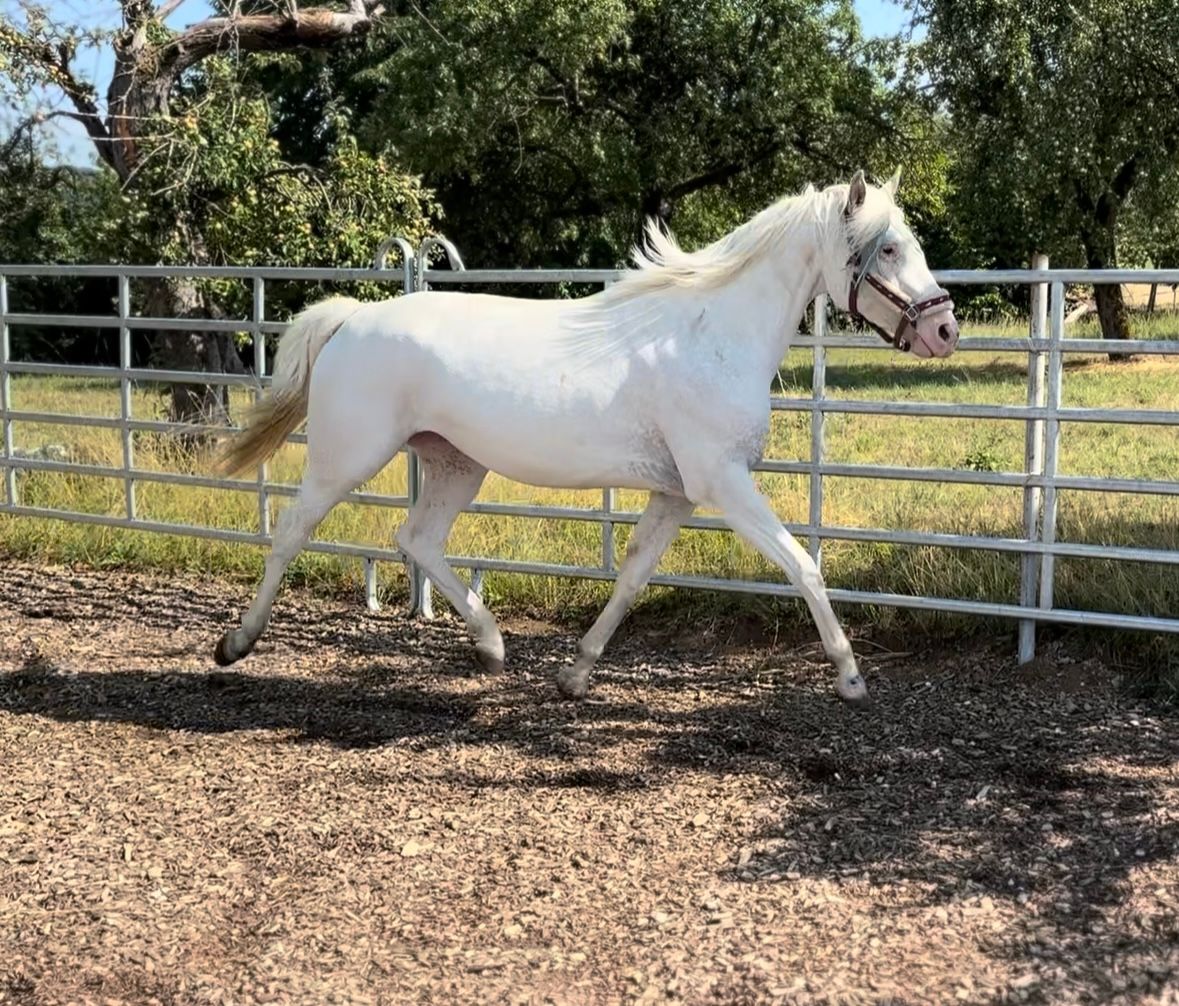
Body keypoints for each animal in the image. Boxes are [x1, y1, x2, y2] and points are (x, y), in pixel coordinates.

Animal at [213, 171, 958, 705]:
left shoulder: (677, 493)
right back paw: (235, 643)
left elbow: (631, 577)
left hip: (456, 464)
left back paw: (491, 647)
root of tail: (352, 318)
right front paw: (850, 678)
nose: (944, 330)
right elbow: (803, 566)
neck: (711, 334)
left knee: (416, 540)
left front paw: (574, 674)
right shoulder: (722, 482)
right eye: (888, 247)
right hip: (347, 457)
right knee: (291, 532)